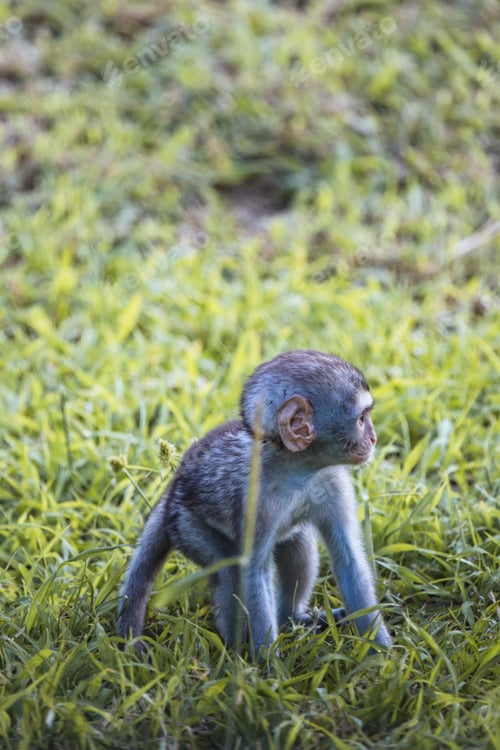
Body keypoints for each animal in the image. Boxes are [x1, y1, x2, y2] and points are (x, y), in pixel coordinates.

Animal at [118, 349, 392, 656]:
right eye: (362, 419)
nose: (373, 439)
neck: (299, 468)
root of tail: (172, 490)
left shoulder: (334, 480)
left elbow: (349, 559)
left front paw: (382, 654)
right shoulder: (256, 500)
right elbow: (254, 571)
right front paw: (267, 663)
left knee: (299, 543)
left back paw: (291, 619)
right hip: (186, 524)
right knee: (229, 569)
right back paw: (235, 650)